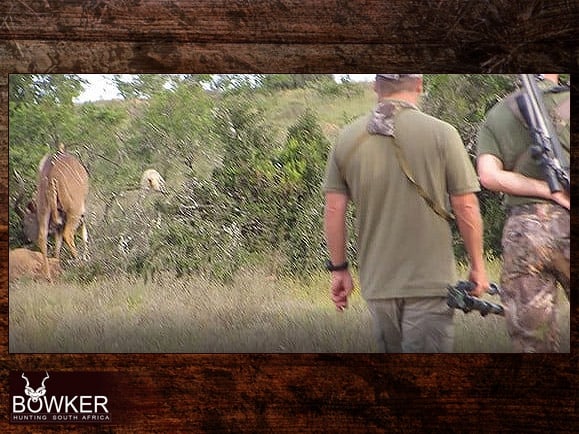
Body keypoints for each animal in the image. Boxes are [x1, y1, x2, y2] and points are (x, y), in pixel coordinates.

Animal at [17, 151, 89, 280]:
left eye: (26, 223)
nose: (28, 239)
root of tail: (50, 175)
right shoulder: (81, 213)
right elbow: (84, 235)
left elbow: (57, 246)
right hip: (74, 213)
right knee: (68, 234)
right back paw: (80, 265)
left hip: (45, 210)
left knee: (43, 237)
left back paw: (48, 276)